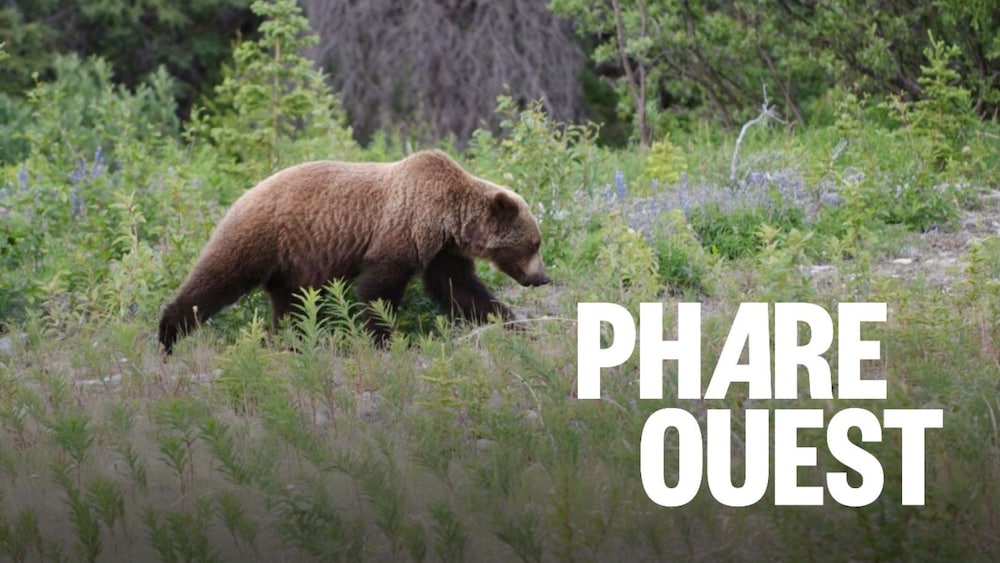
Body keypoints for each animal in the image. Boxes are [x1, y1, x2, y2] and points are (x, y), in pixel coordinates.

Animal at [157, 150, 550, 354]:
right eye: (534, 243)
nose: (542, 277)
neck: (448, 219)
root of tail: (243, 194)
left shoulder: (441, 251)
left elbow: (461, 289)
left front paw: (516, 327)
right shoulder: (402, 230)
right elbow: (378, 289)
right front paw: (384, 340)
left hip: (293, 265)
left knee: (291, 307)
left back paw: (290, 342)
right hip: (259, 237)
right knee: (216, 279)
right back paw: (168, 335)